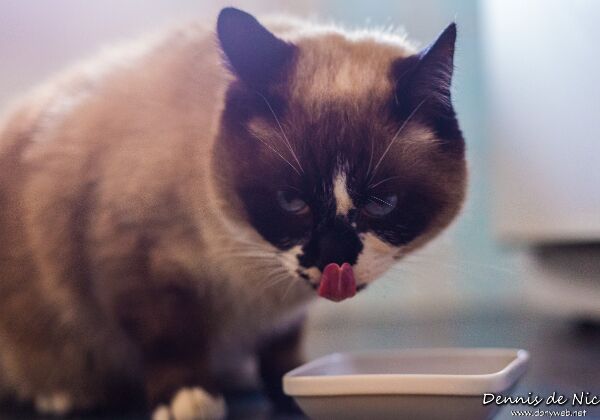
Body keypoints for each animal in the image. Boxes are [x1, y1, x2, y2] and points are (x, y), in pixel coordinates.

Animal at [0, 7, 467, 419]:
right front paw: (188, 399)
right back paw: (63, 395)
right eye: (290, 202)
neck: (254, 269)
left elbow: (283, 349)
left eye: (380, 204)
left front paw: (290, 390)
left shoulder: (284, 314)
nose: (333, 261)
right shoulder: (135, 264)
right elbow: (170, 342)